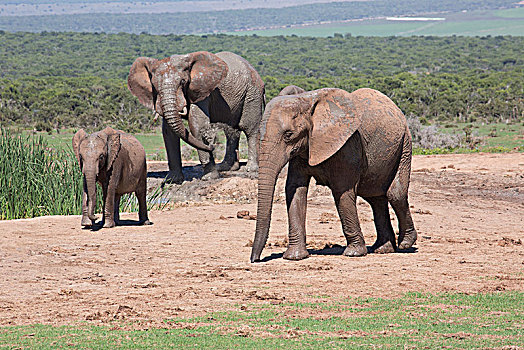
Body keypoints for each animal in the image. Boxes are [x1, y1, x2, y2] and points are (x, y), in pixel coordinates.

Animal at [127, 52, 266, 183]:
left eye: (183, 82)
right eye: (154, 86)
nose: (211, 144)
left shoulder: (201, 92)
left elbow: (197, 125)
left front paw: (210, 177)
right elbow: (168, 131)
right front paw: (172, 180)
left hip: (252, 93)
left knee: (249, 128)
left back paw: (251, 169)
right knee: (231, 131)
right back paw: (226, 167)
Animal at [250, 87, 418, 262]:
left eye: (288, 135)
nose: (255, 259)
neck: (306, 101)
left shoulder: (348, 145)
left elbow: (341, 191)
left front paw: (354, 253)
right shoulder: (303, 150)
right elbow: (295, 189)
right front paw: (294, 257)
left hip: (405, 144)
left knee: (395, 194)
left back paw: (406, 243)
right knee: (375, 199)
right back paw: (383, 249)